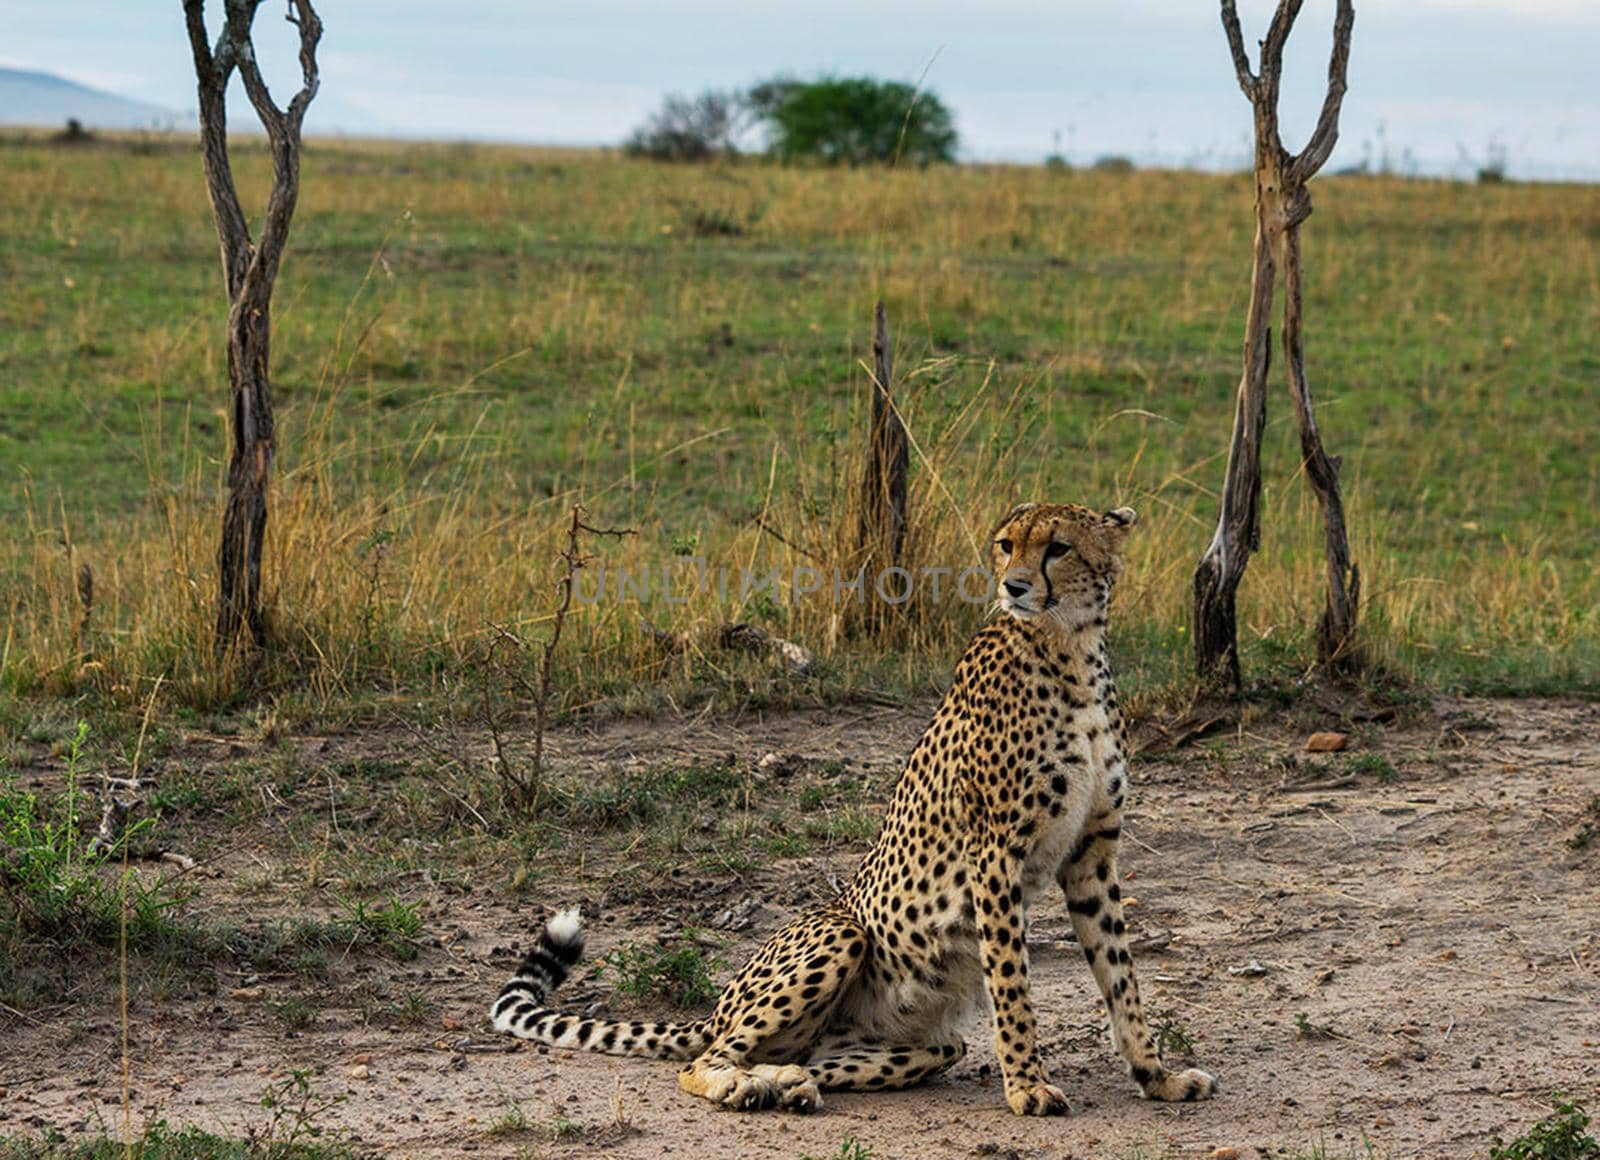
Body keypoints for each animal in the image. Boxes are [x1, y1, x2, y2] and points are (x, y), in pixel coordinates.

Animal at [486, 499, 1209, 1113]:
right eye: (1007, 545)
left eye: (1058, 548)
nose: (1015, 586)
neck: (1069, 649)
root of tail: (715, 1007)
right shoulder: (996, 854)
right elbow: (1012, 984)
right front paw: (1028, 1087)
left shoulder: (1092, 856)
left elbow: (1121, 978)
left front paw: (1157, 1076)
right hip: (841, 933)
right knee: (702, 1060)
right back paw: (743, 1086)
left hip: (926, 1041)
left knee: (829, 1057)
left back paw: (786, 1081)